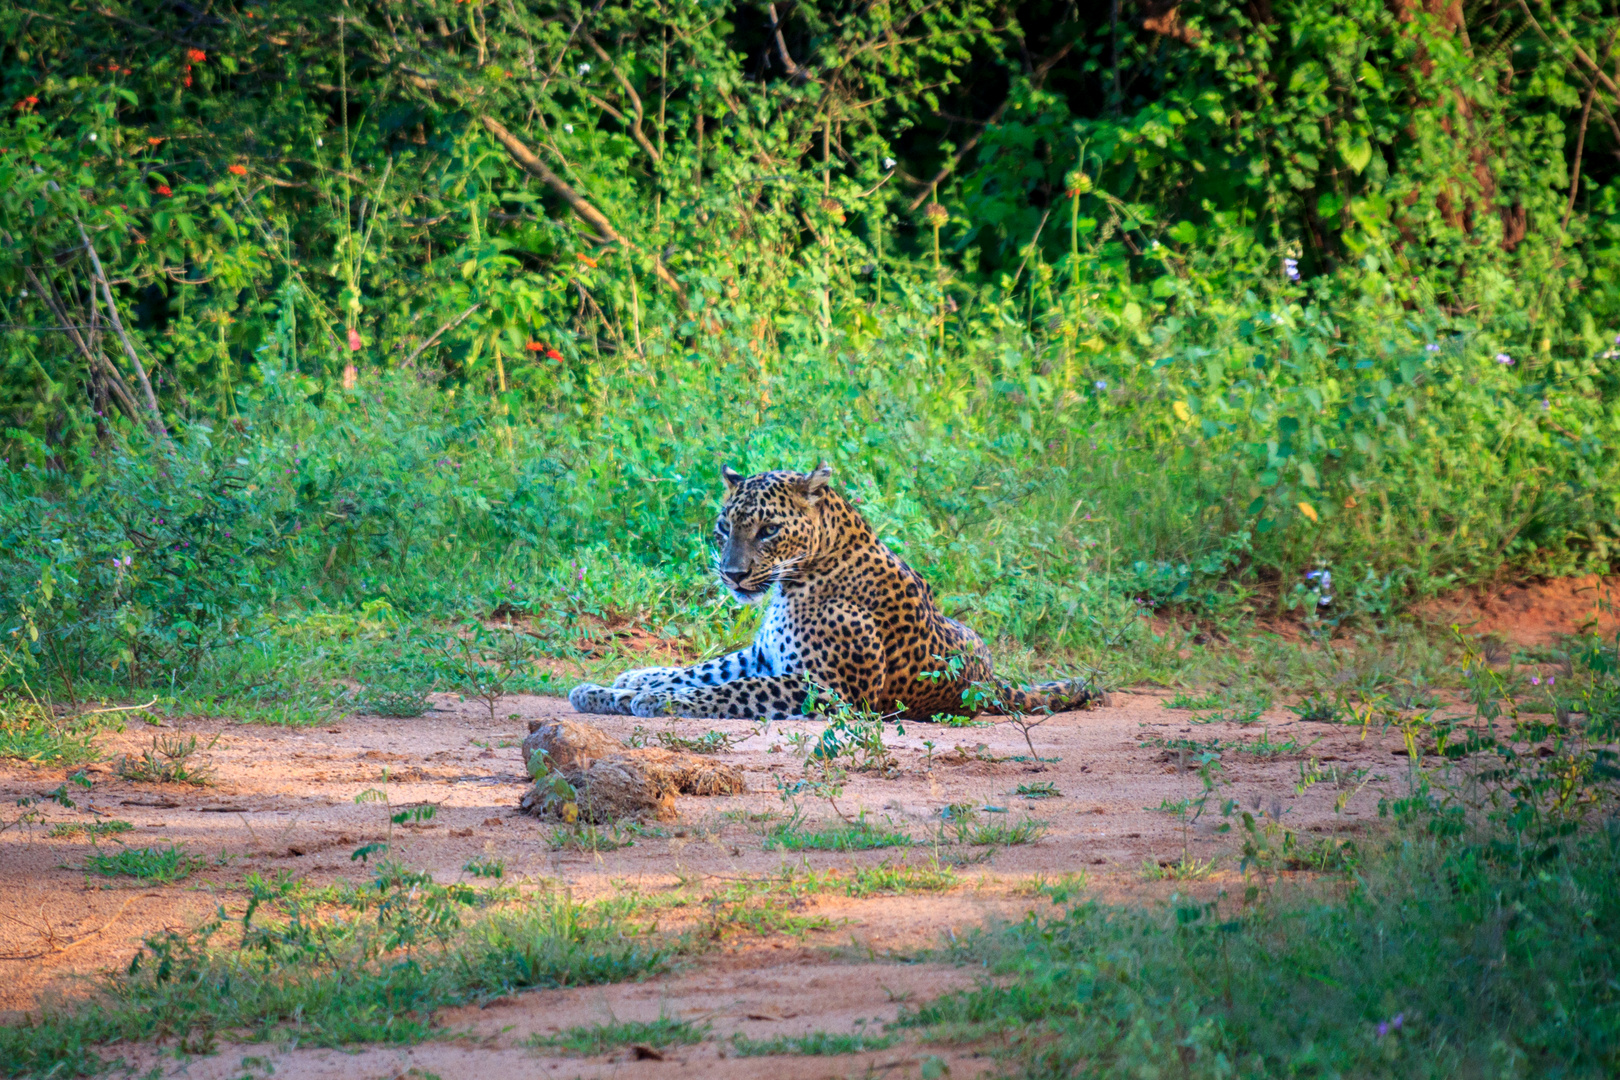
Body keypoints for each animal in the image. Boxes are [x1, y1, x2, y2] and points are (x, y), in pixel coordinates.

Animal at [570, 466, 1101, 725]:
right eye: (724, 528)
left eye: (768, 530)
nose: (732, 576)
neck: (798, 579)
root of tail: (992, 680)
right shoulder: (762, 656)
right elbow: (698, 670)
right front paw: (614, 687)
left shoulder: (829, 688)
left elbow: (725, 690)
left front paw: (652, 701)